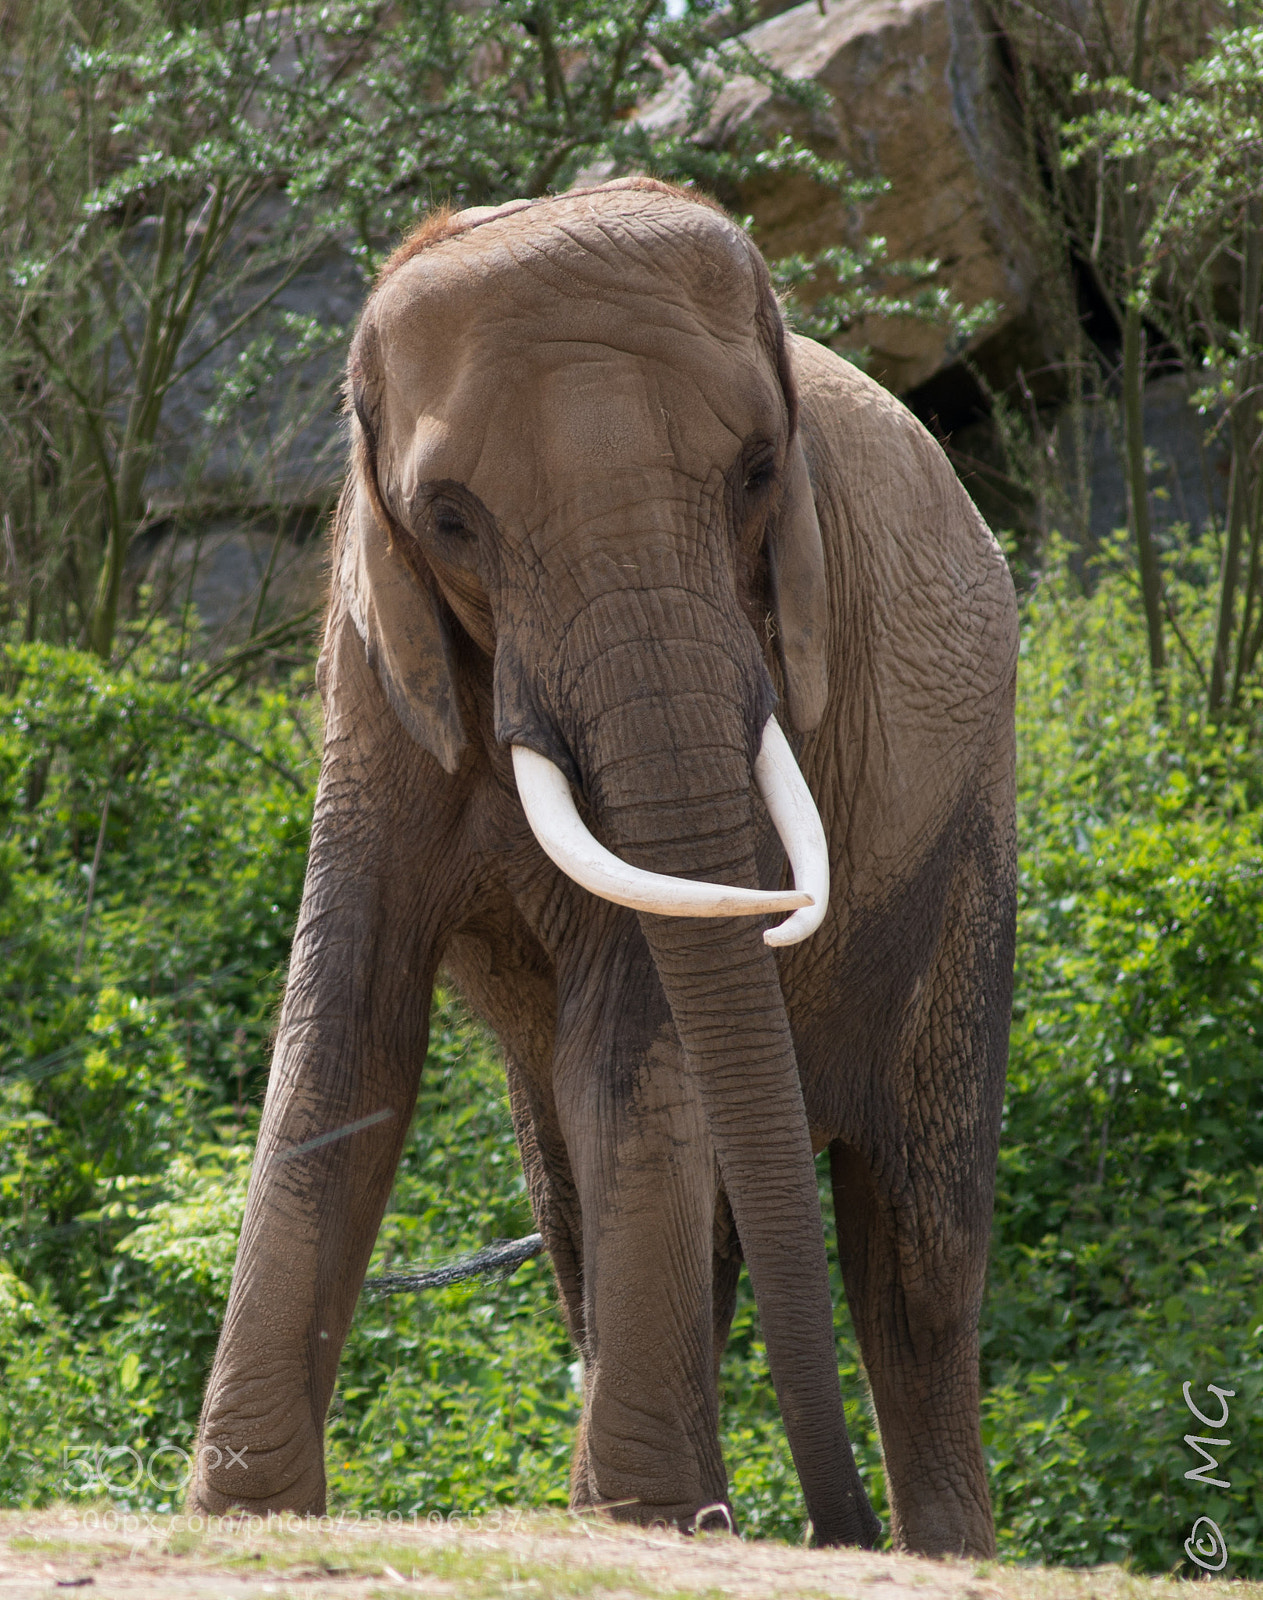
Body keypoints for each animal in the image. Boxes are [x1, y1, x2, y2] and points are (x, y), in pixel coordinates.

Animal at [191, 176, 1018, 1558]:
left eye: (758, 473)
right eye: (450, 517)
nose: (826, 1527)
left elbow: (630, 1033)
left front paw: (643, 1516)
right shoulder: (377, 669)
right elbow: (346, 1031)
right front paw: (246, 1514)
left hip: (972, 839)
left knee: (915, 1254)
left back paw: (933, 1546)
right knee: (598, 1202)